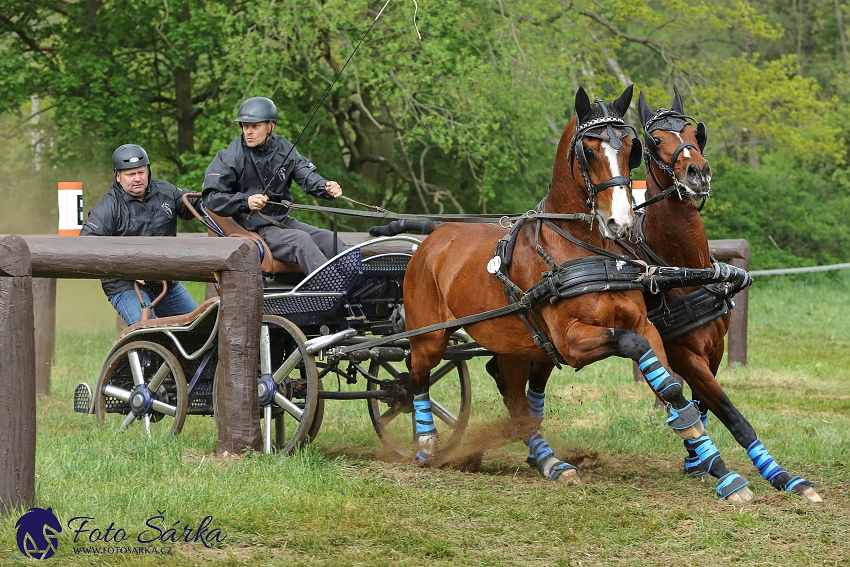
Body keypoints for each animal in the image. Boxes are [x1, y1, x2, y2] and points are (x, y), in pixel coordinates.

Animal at [402, 84, 728, 492]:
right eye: (588, 150)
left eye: (631, 148)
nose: (620, 220)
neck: (589, 251)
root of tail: (433, 238)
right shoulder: (571, 341)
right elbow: (633, 347)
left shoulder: (649, 328)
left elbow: (670, 385)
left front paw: (720, 467)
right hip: (430, 337)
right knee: (416, 375)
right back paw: (427, 445)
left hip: (515, 344)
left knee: (511, 390)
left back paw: (547, 460)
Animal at [628, 84, 820, 502]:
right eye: (654, 140)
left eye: (693, 132)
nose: (697, 171)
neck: (685, 269)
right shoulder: (685, 356)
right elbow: (731, 414)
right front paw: (767, 475)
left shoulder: (714, 348)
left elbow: (703, 406)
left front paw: (696, 458)